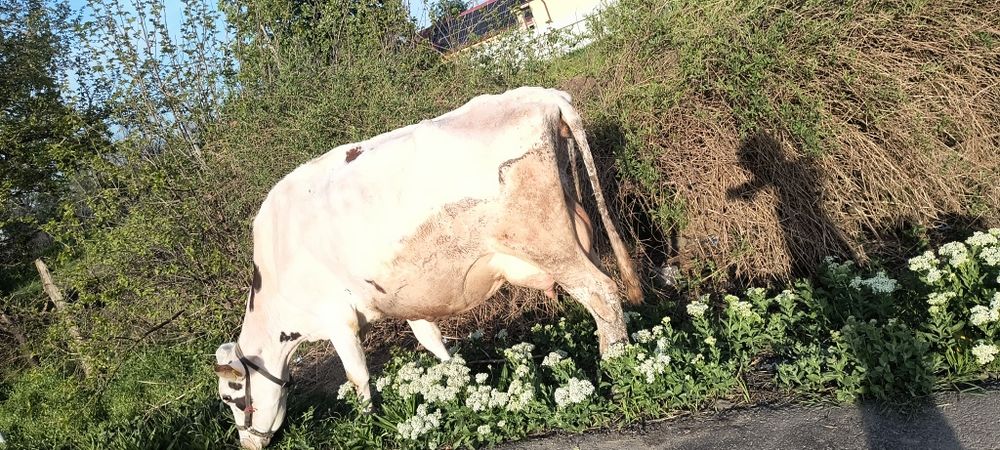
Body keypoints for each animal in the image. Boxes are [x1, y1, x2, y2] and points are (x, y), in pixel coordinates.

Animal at [213, 87, 642, 449]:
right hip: (576, 236)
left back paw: (616, 365)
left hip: (548, 244)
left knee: (601, 293)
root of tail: (544, 95)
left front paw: (368, 425)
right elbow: (432, 342)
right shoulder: (408, 300)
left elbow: (358, 377)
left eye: (231, 398)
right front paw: (461, 385)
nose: (248, 444)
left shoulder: (337, 318)